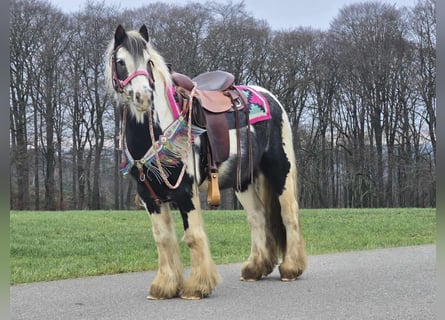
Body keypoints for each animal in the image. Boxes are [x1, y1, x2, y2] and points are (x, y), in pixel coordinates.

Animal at [105, 24, 306, 300]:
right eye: (120, 62)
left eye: (148, 62)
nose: (143, 97)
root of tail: (269, 97)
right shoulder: (149, 195)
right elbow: (162, 238)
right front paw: (164, 286)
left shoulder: (185, 191)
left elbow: (192, 235)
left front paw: (197, 287)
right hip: (242, 180)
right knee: (257, 216)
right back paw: (255, 268)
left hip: (280, 169)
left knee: (289, 213)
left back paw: (291, 268)